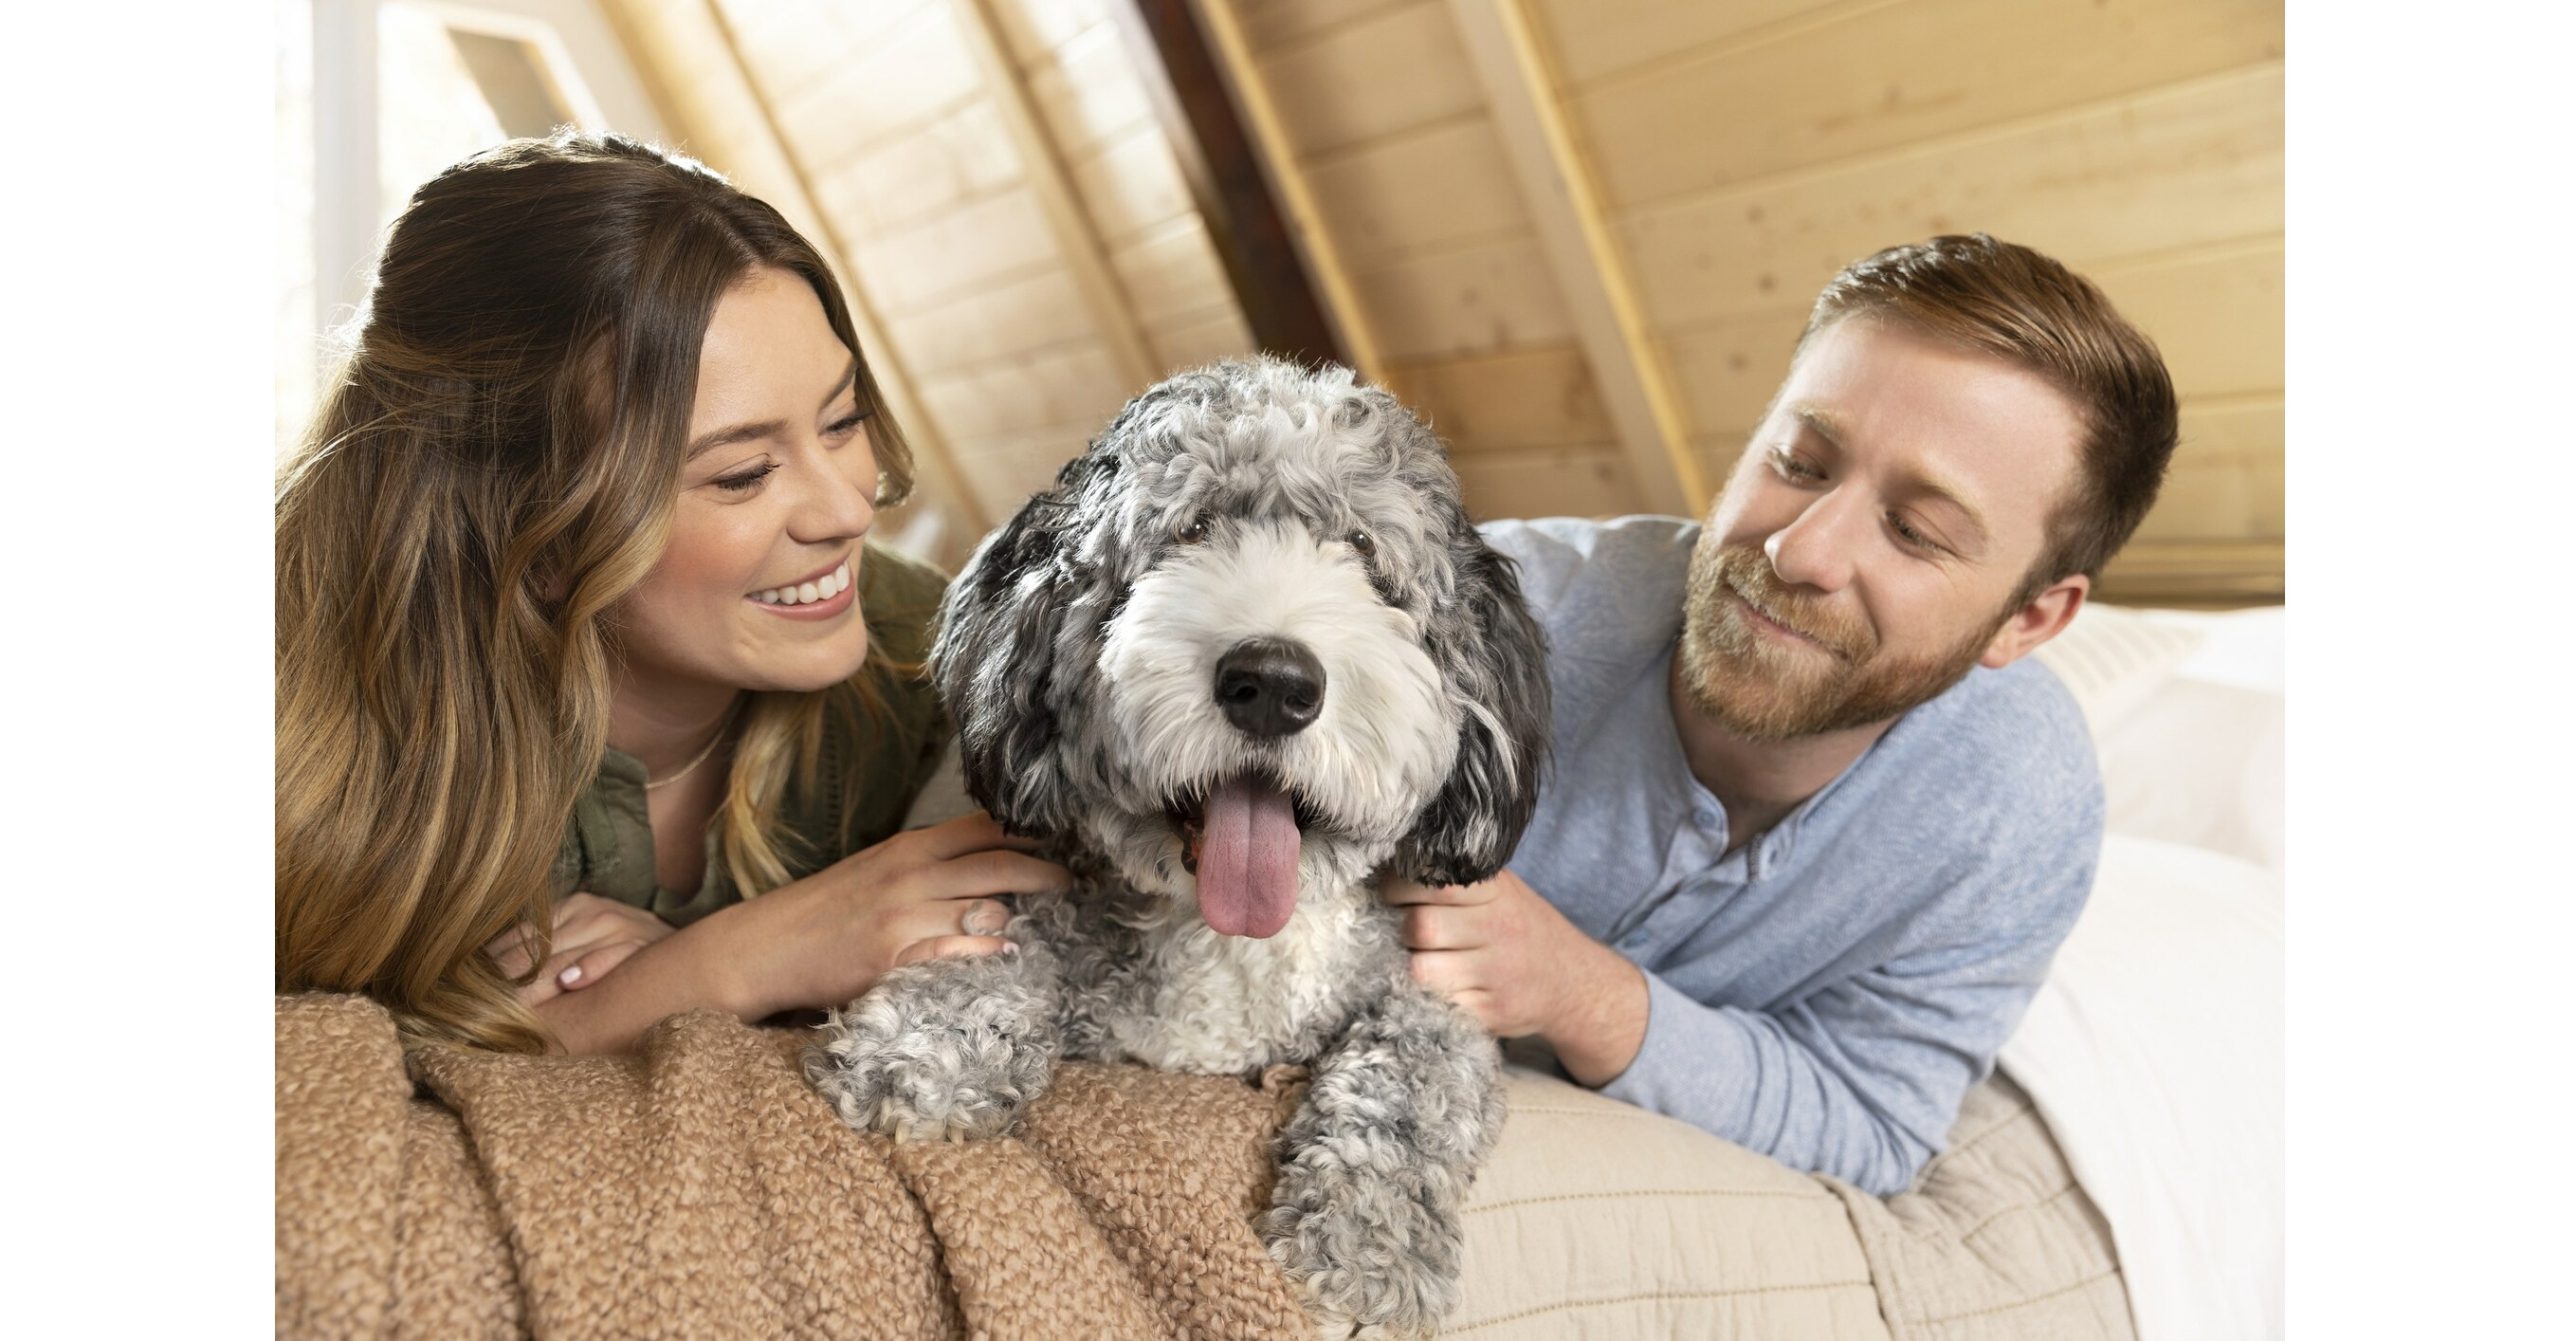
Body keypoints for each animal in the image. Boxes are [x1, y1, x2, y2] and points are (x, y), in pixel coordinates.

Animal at [808, 355, 1546, 1330]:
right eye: (1193, 527)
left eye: (1362, 551)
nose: (1272, 680)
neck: (1226, 939)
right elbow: (1002, 936)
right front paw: (925, 1043)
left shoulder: (1439, 994)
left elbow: (1412, 1082)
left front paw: (1367, 1246)